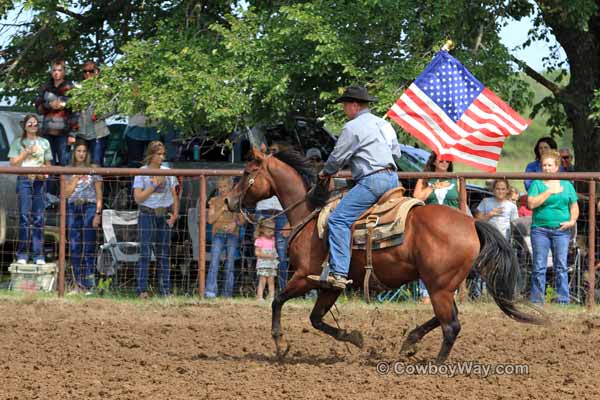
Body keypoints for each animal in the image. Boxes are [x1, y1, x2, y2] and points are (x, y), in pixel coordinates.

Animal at [226, 148, 544, 364]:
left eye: (246, 173)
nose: (229, 201)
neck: (311, 215)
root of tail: (470, 223)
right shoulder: (330, 286)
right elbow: (316, 319)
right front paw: (355, 338)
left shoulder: (306, 277)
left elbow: (278, 301)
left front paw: (280, 344)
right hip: (443, 284)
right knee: (447, 318)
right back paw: (409, 342)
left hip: (438, 286)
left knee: (451, 325)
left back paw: (435, 364)